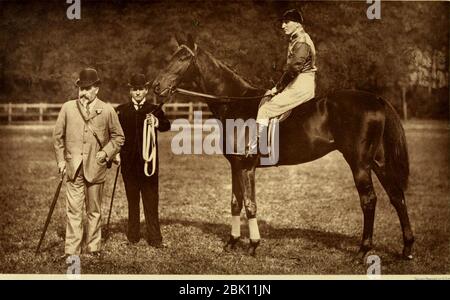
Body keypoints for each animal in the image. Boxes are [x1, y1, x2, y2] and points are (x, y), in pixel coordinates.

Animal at [153, 34, 414, 260]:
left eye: (182, 58)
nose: (154, 86)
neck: (236, 102)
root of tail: (376, 99)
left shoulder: (246, 167)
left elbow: (250, 205)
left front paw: (253, 245)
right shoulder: (235, 166)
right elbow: (235, 203)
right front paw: (231, 242)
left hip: (359, 163)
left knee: (369, 200)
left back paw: (363, 250)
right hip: (378, 162)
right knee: (396, 196)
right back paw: (407, 249)